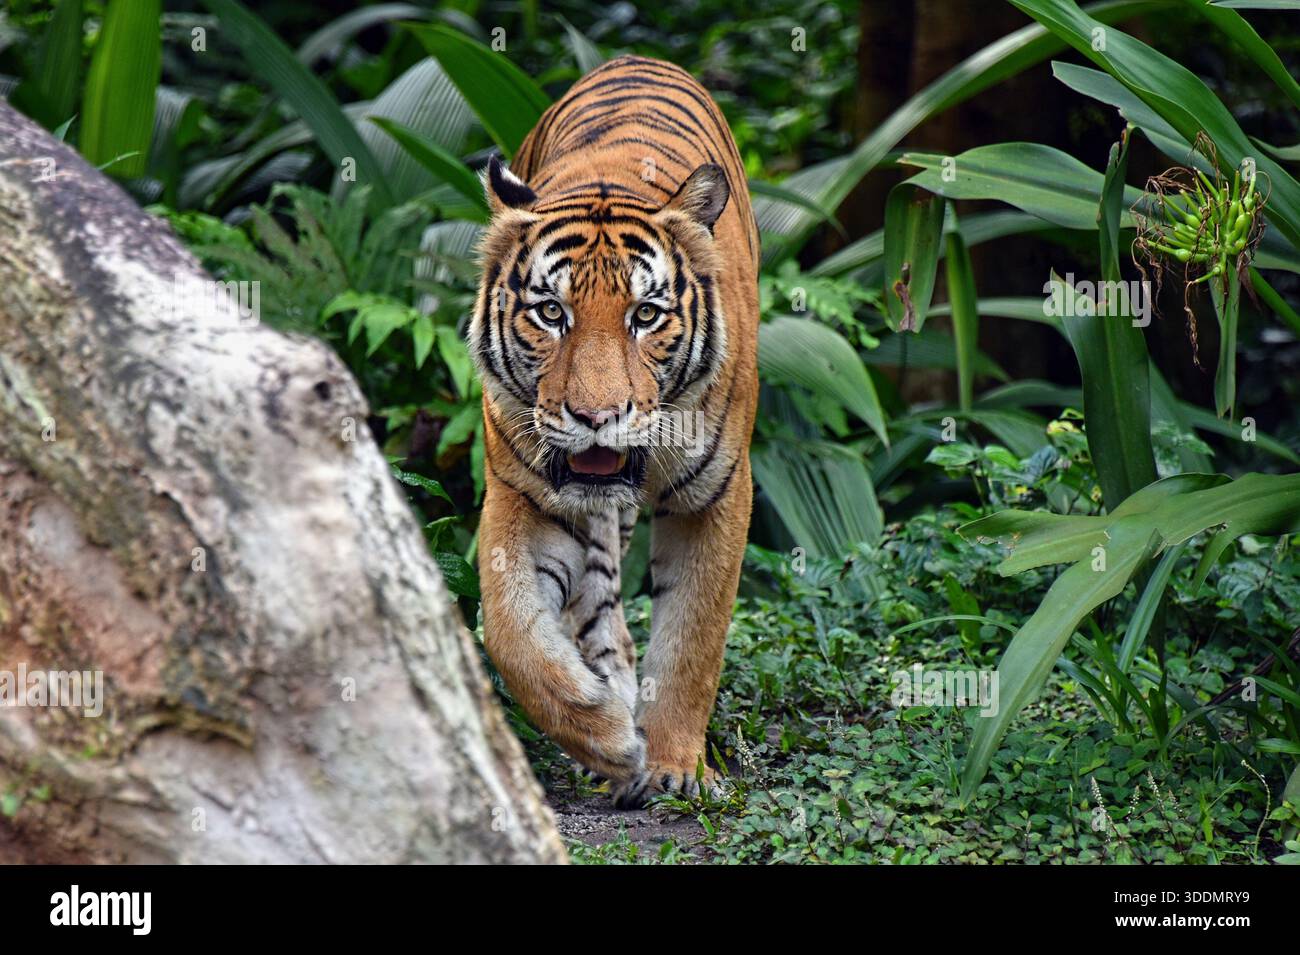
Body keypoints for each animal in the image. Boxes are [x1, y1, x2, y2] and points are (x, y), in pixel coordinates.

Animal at [469, 54, 760, 808]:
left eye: (646, 315)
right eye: (551, 312)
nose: (596, 417)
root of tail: (637, 58)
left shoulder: (716, 495)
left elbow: (694, 635)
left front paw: (676, 765)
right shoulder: (524, 492)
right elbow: (510, 632)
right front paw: (603, 734)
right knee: (595, 603)